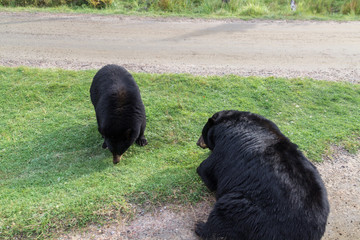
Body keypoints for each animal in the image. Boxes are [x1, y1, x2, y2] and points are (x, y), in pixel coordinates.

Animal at [197, 110, 330, 240]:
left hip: (253, 214)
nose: (198, 143)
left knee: (225, 211)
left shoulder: (224, 150)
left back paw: (201, 226)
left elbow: (207, 170)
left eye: (202, 133)